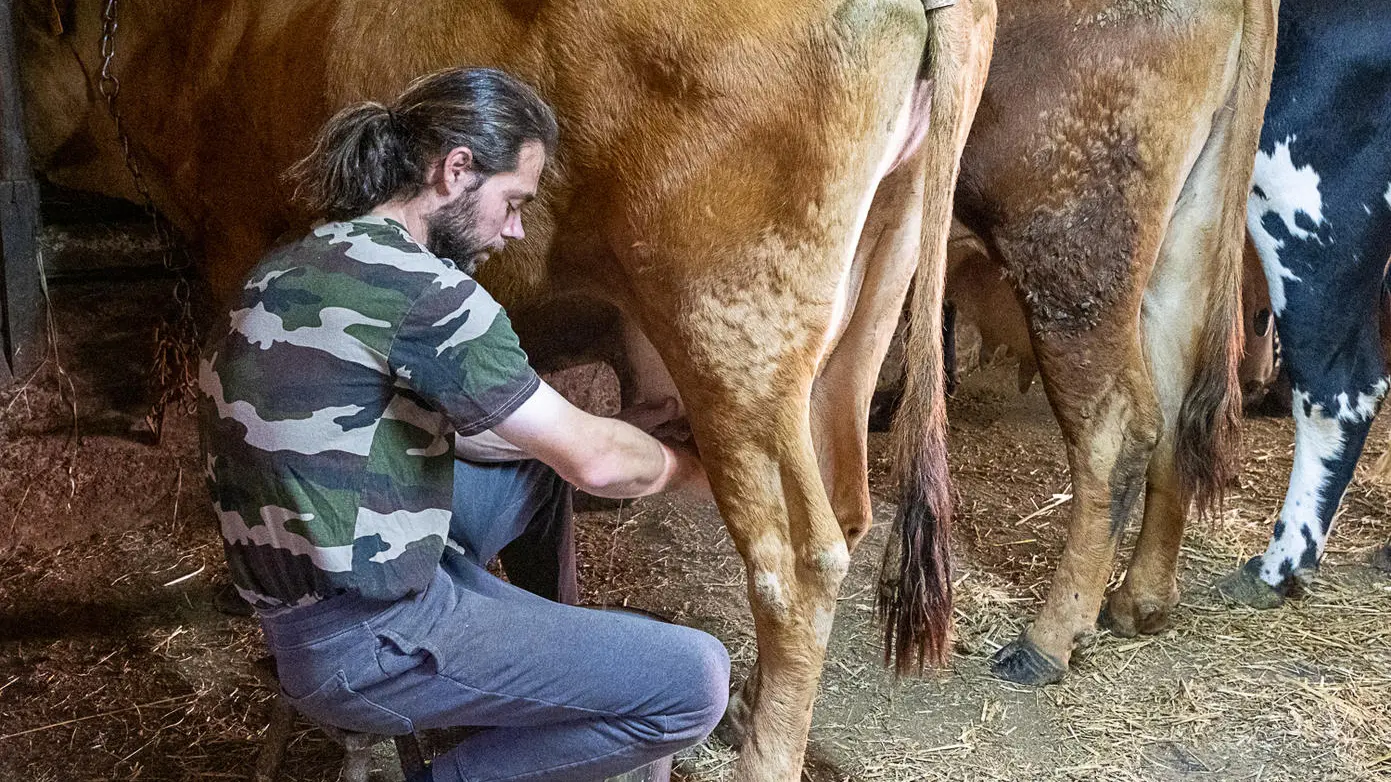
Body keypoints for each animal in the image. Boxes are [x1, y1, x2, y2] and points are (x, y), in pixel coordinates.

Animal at [21, 0, 1001, 773]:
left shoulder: (233, 245)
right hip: (872, 292)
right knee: (847, 507)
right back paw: (758, 702)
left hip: (735, 324)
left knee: (794, 559)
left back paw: (764, 752)